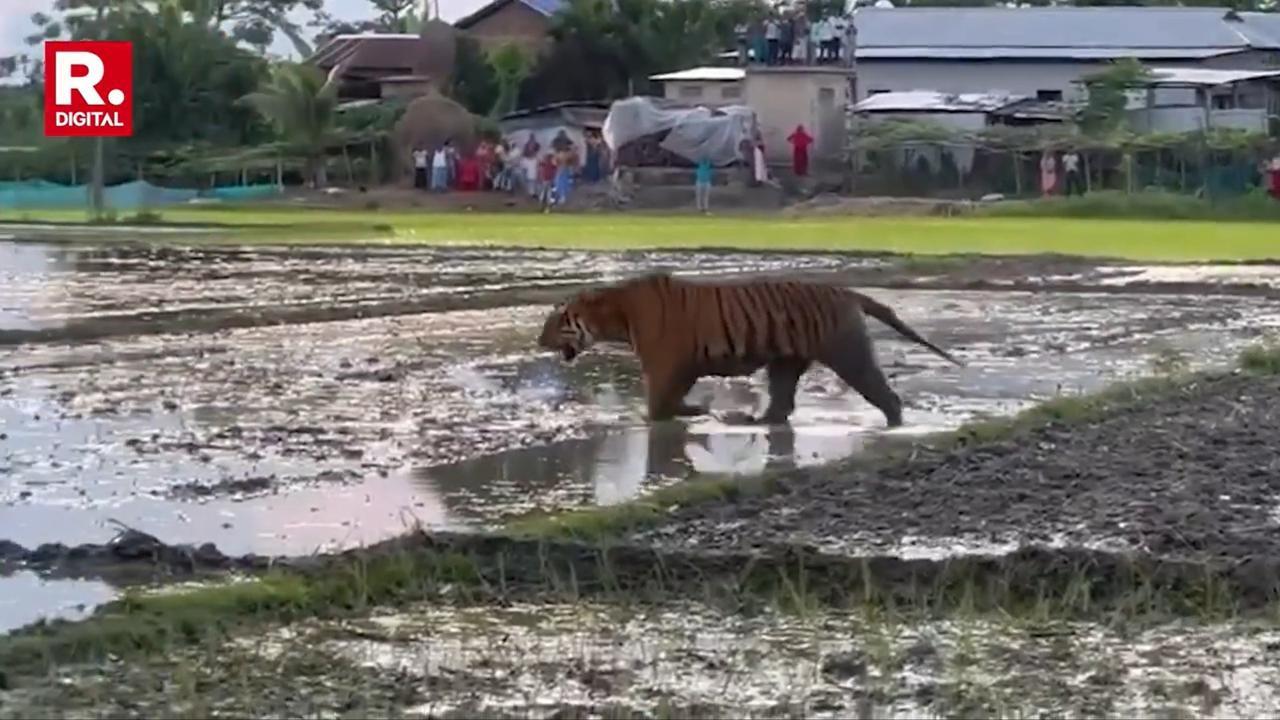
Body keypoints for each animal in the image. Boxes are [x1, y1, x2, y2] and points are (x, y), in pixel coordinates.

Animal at [535, 269, 962, 425]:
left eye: (558, 321)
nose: (538, 340)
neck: (616, 313)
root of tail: (847, 291)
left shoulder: (663, 364)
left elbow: (658, 402)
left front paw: (672, 415)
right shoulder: (682, 366)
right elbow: (672, 400)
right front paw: (696, 410)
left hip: (847, 353)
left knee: (884, 394)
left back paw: (895, 426)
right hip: (785, 361)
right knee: (782, 403)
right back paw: (754, 420)